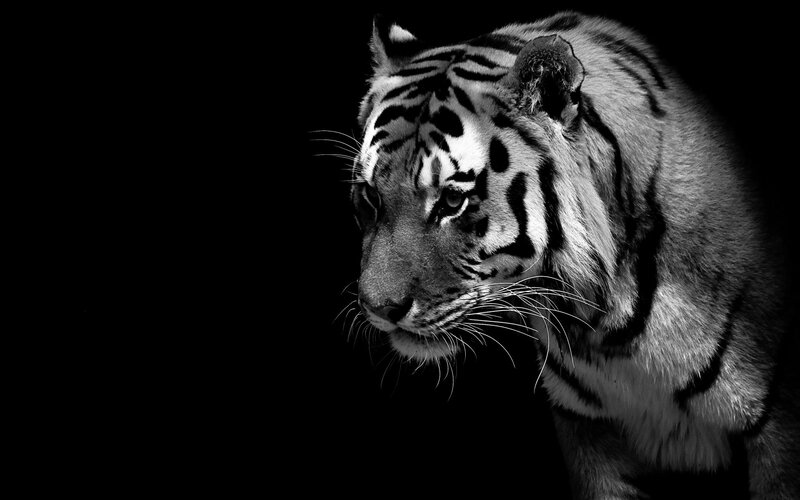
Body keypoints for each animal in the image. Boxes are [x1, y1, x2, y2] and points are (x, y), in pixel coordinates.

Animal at [348, 11, 799, 499]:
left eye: (452, 201)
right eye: (370, 196)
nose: (379, 308)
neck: (606, 327)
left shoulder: (778, 428)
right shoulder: (587, 428)